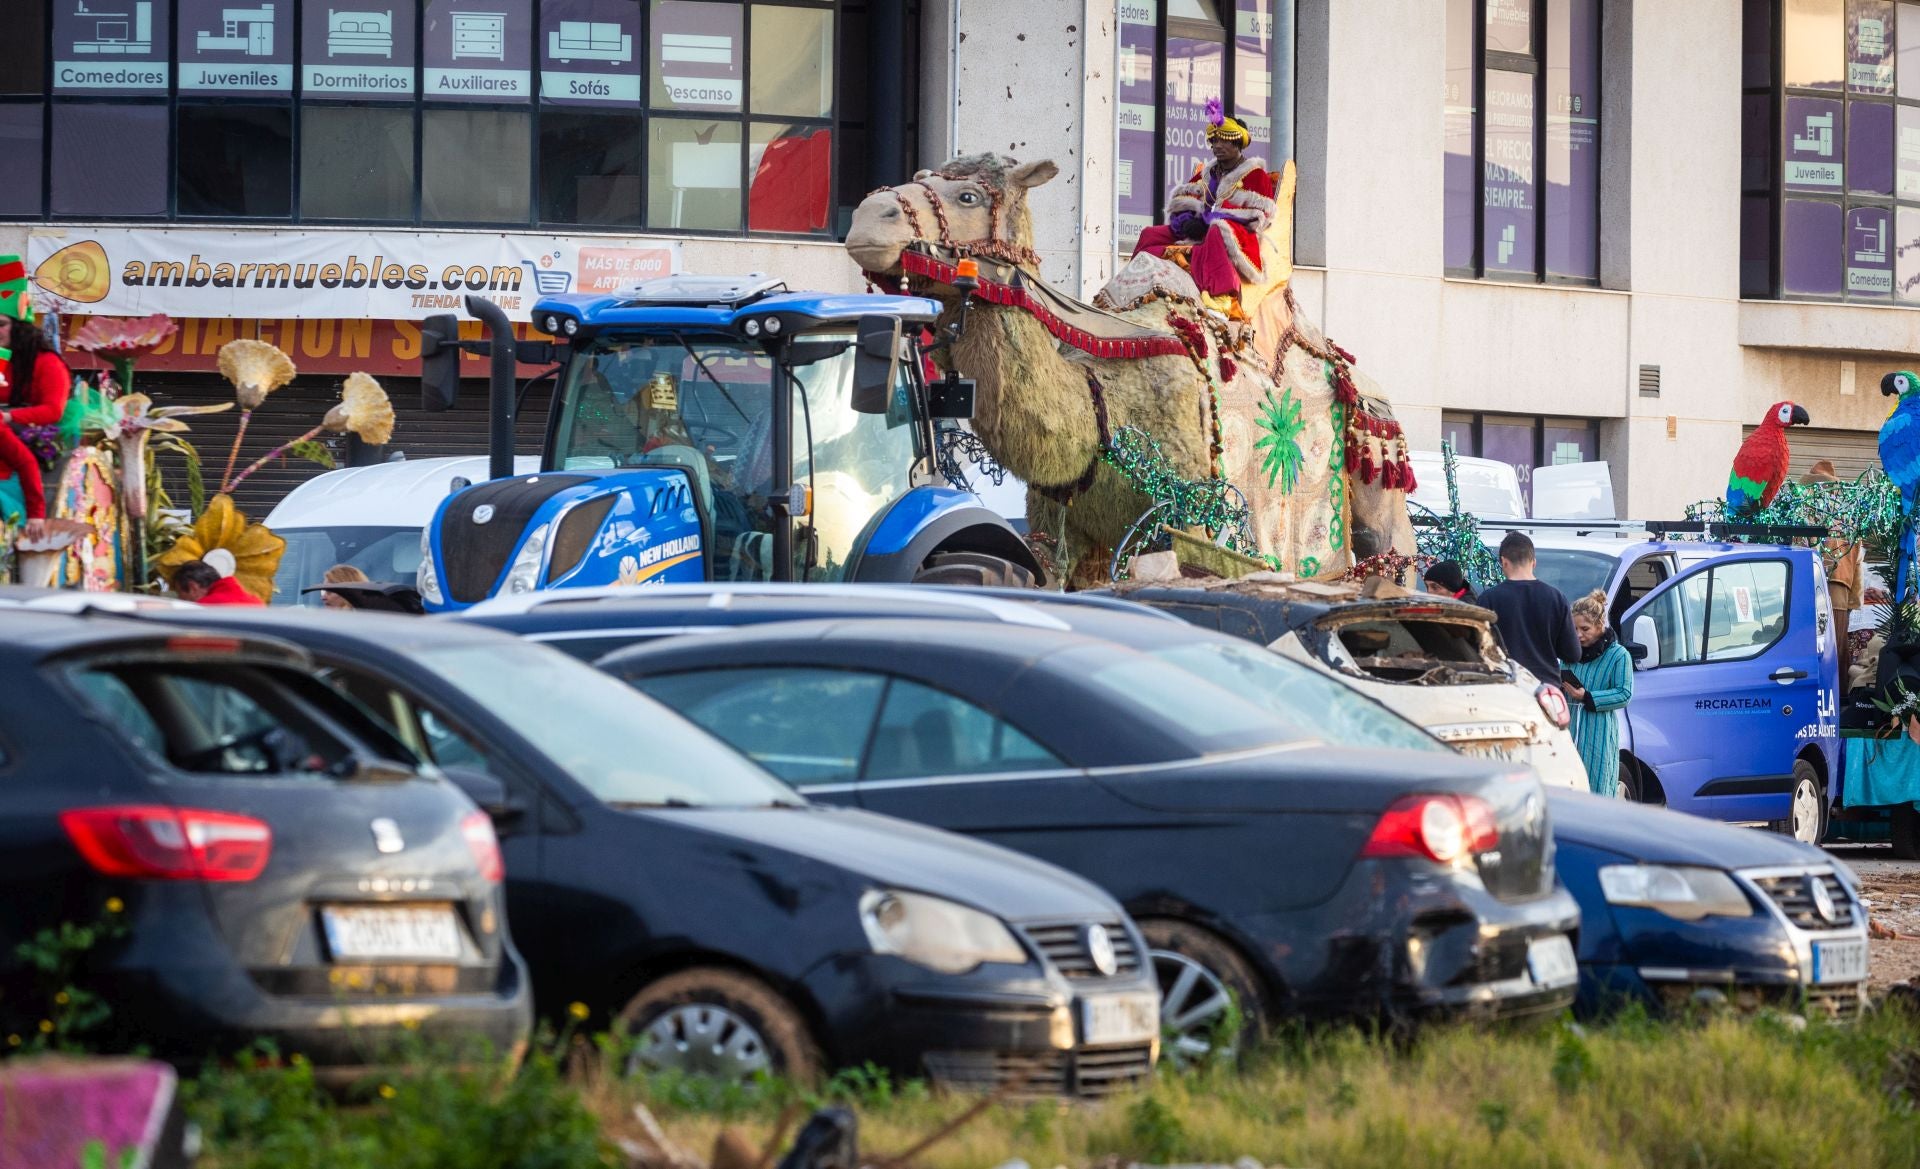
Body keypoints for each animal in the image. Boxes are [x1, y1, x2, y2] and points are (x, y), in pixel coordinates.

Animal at [848, 155, 1420, 587]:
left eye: (968, 196)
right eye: (922, 177)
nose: (866, 217)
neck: (1101, 399)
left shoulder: (1191, 516)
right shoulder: (1059, 528)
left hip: (1376, 463)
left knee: (1393, 551)